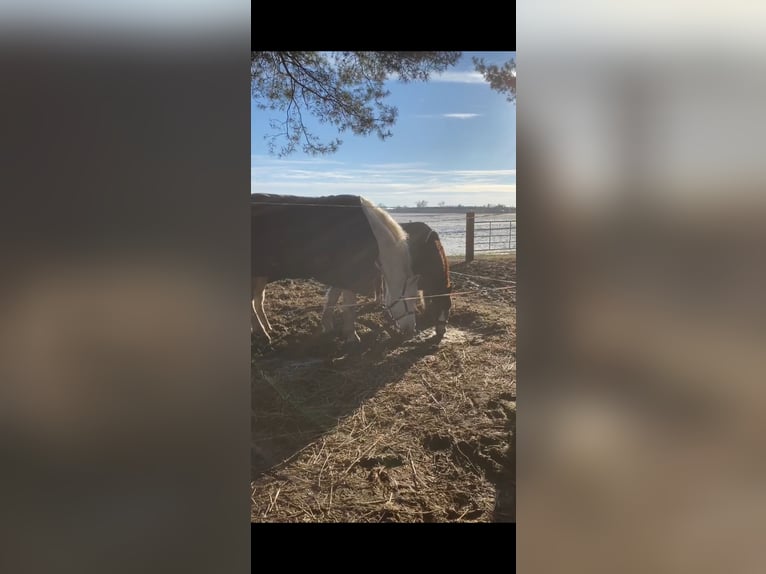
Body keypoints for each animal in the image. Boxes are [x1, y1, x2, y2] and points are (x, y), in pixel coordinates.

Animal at [252, 194, 420, 346]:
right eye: (409, 299)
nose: (411, 330)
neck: (371, 234)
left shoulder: (340, 276)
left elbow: (332, 297)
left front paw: (327, 326)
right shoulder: (349, 275)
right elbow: (349, 306)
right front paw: (352, 336)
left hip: (261, 275)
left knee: (258, 301)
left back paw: (266, 328)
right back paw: (263, 333)